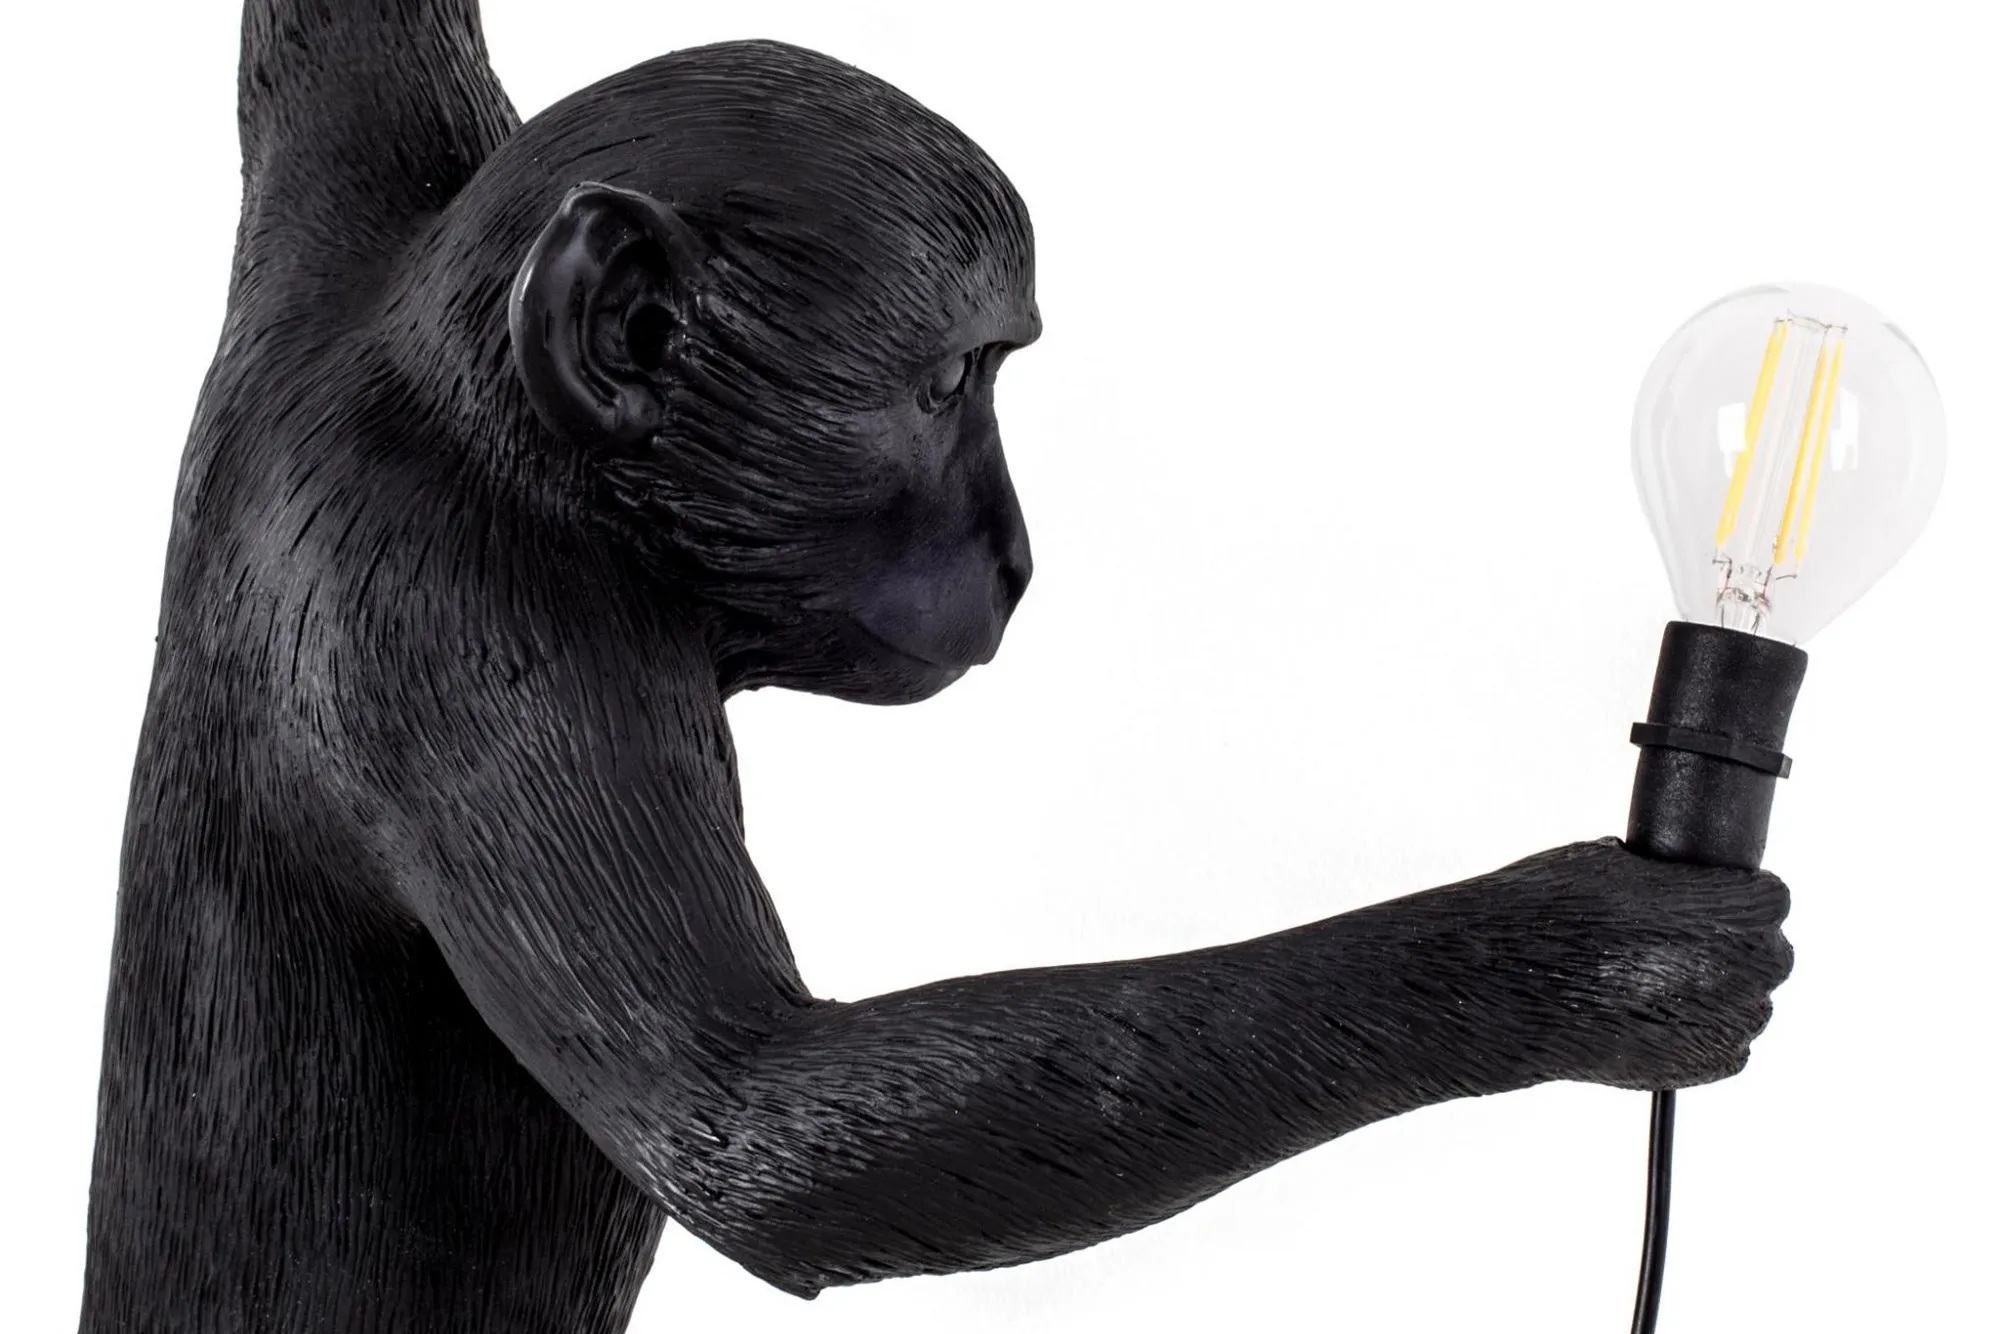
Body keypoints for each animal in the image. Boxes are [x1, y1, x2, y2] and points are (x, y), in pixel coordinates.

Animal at [78, 4, 1792, 1331]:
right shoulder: (485, 647)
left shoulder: (332, 222)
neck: (501, 451)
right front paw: (1594, 952)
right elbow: (766, 1123)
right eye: (955, 378)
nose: (1021, 555)